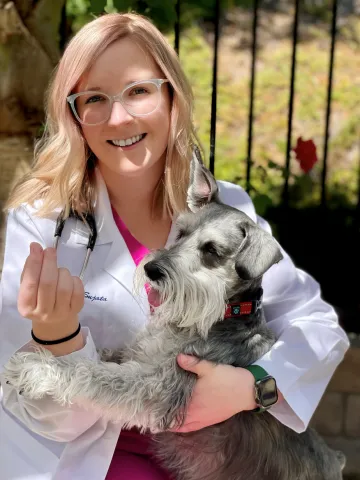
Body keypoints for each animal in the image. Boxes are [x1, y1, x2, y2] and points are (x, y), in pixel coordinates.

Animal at [3, 151, 346, 480]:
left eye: (211, 251)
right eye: (181, 233)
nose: (152, 269)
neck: (222, 315)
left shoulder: (156, 386)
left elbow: (95, 375)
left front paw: (35, 367)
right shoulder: (138, 356)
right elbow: (99, 359)